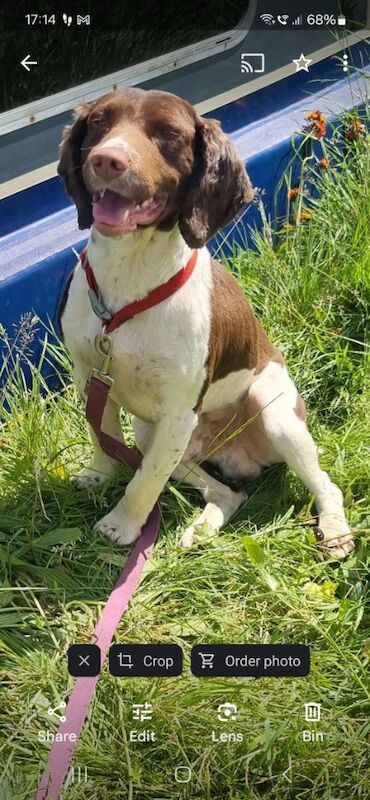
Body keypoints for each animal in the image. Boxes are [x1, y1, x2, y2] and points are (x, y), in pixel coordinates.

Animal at [56, 87, 354, 560]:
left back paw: (335, 528)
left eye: (168, 134)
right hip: (154, 435)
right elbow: (100, 433)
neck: (129, 281)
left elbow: (144, 482)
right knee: (229, 494)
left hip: (274, 414)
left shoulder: (178, 413)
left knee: (326, 485)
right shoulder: (90, 376)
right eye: (100, 122)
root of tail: (239, 457)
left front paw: (122, 526)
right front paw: (100, 474)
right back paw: (203, 527)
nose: (106, 160)